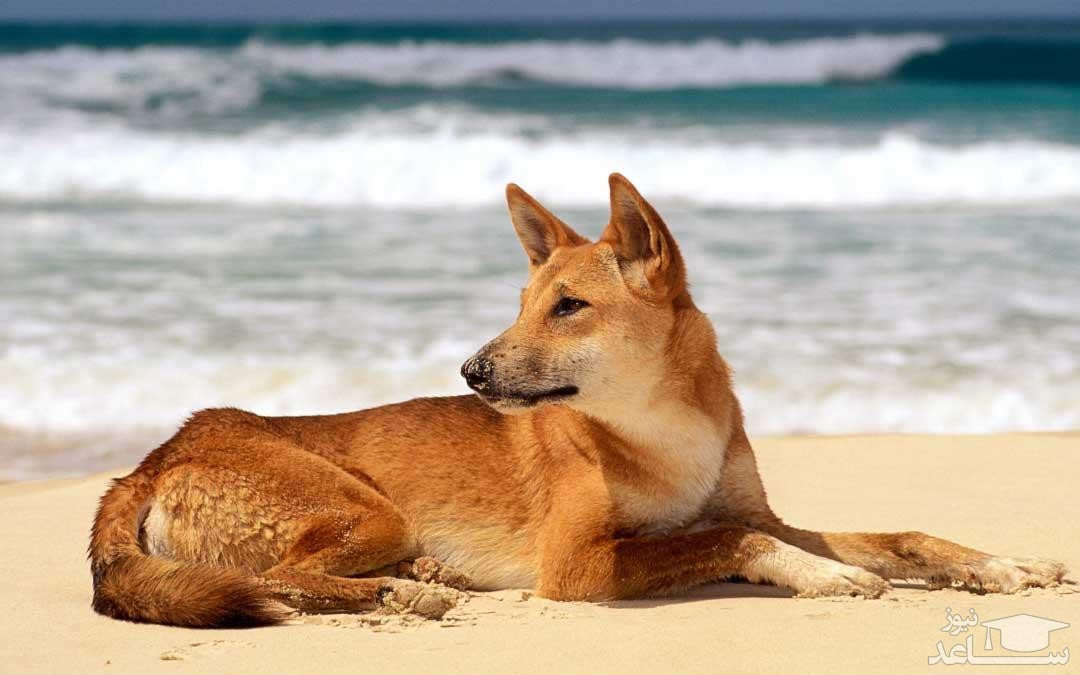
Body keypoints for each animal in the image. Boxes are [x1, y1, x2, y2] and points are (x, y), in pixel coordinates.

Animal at [86, 173, 1062, 626]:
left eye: (567, 306)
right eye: (524, 302)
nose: (471, 371)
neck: (665, 435)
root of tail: (151, 457)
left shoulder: (762, 510)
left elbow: (897, 535)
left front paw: (999, 564)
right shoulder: (577, 564)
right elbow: (728, 540)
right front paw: (825, 576)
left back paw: (423, 576)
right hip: (366, 509)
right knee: (272, 577)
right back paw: (405, 594)